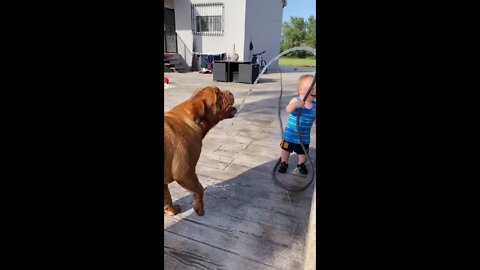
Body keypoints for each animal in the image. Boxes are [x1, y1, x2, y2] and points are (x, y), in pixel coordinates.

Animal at [164, 85, 237, 216]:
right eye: (218, 96)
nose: (229, 91)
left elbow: (167, 196)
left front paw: (171, 210)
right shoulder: (185, 172)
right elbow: (199, 188)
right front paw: (199, 208)